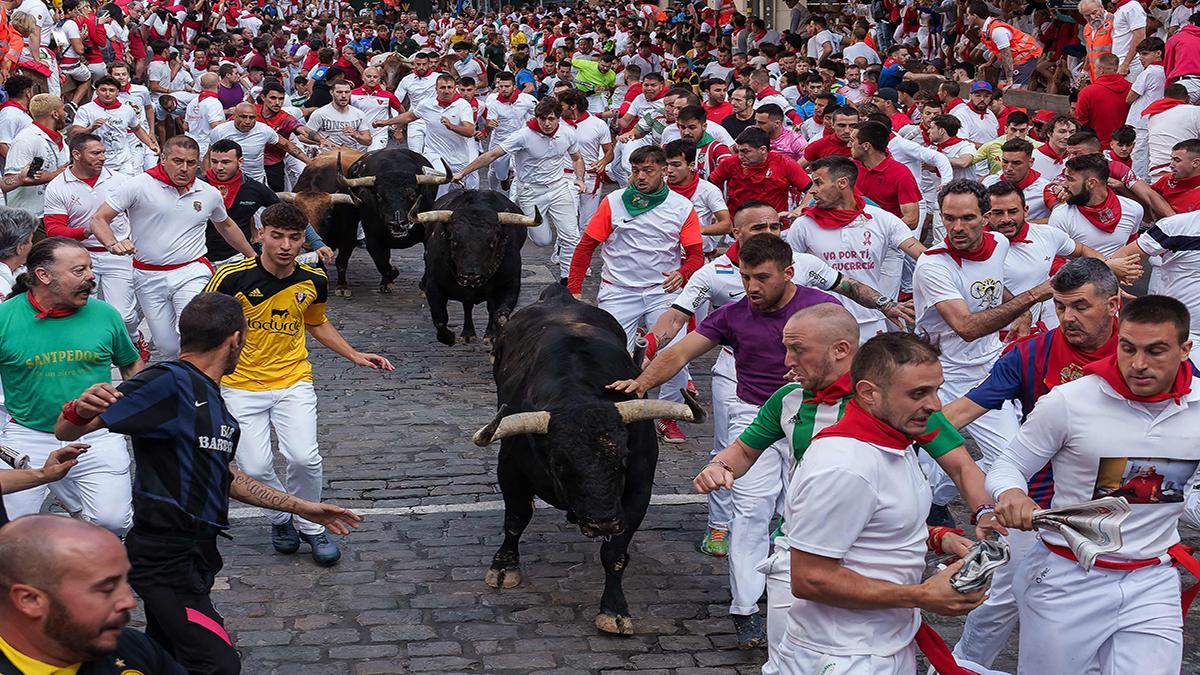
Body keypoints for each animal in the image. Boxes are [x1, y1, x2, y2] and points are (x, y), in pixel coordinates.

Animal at [417, 192, 540, 343]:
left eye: (493, 241)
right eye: (453, 240)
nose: (471, 277)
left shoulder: (511, 284)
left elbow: (500, 314)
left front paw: (494, 333)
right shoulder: (434, 285)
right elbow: (440, 319)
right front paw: (449, 338)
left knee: (489, 307)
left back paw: (488, 334)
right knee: (467, 306)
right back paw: (468, 333)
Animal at [472, 285, 705, 634]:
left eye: (622, 460)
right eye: (558, 464)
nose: (602, 521)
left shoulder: (638, 490)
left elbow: (615, 553)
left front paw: (614, 609)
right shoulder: (510, 470)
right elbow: (515, 519)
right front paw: (504, 566)